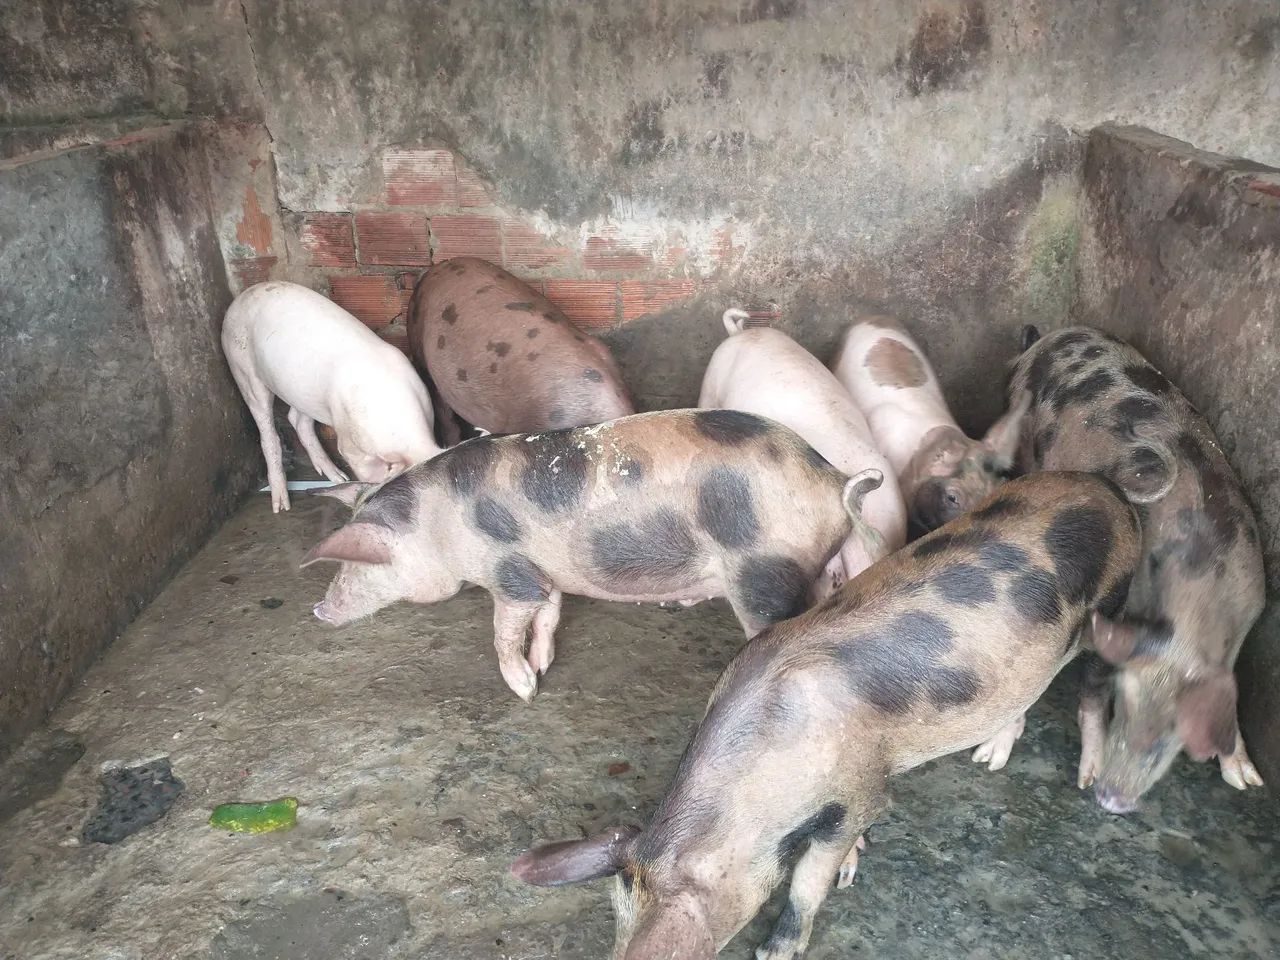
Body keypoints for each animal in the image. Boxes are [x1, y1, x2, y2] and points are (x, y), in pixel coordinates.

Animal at [222, 281, 440, 513]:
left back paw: (338, 478)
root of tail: (240, 298)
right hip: (243, 370)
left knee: (297, 420)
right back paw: (282, 506)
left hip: (305, 393)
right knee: (267, 428)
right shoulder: (349, 443)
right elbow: (365, 471)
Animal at [300, 409, 886, 701]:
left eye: (358, 560)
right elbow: (550, 615)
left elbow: (505, 627)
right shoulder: (545, 571)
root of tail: (833, 480)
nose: (319, 610)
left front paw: (524, 690)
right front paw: (543, 666)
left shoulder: (509, 571)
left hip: (764, 573)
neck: (437, 522)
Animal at [512, 472, 1141, 959]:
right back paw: (989, 757)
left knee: (1088, 685)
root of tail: (1109, 490)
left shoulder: (862, 787)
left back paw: (1069, 776)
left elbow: (809, 881)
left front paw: (779, 946)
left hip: (1112, 607)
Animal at [1003, 325, 1265, 810]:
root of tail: (1051, 336)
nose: (1110, 799)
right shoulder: (1114, 614)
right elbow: (1092, 686)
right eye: (1124, 705)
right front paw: (1084, 774)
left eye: (1177, 737)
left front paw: (1246, 780)